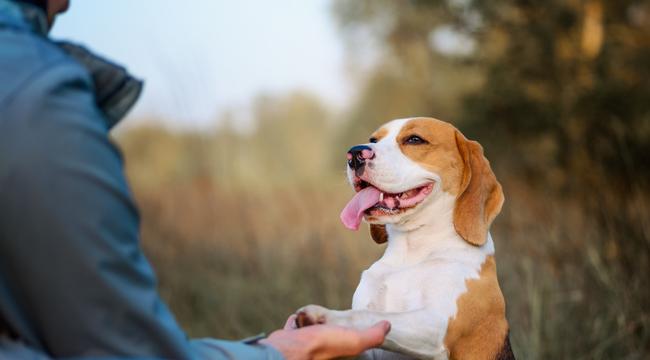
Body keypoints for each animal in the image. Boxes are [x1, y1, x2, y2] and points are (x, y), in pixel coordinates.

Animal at [296, 118, 512, 360]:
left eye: (415, 140)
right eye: (373, 140)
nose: (354, 154)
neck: (411, 252)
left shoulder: (436, 325)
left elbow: (368, 316)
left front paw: (326, 317)